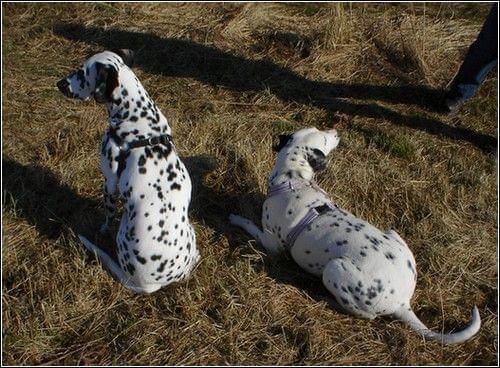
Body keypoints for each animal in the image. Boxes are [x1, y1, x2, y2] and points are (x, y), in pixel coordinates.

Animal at [56, 50, 199, 294]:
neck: (138, 119)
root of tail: (150, 285)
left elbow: (107, 215)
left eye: (82, 72)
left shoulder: (109, 183)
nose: (59, 84)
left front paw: (103, 228)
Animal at [229, 127, 480, 344]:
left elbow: (249, 224)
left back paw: (325, 298)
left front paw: (236, 218)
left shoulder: (271, 242)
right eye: (324, 137)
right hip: (392, 232)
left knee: (364, 314)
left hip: (333, 269)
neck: (293, 180)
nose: (336, 130)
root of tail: (402, 302)